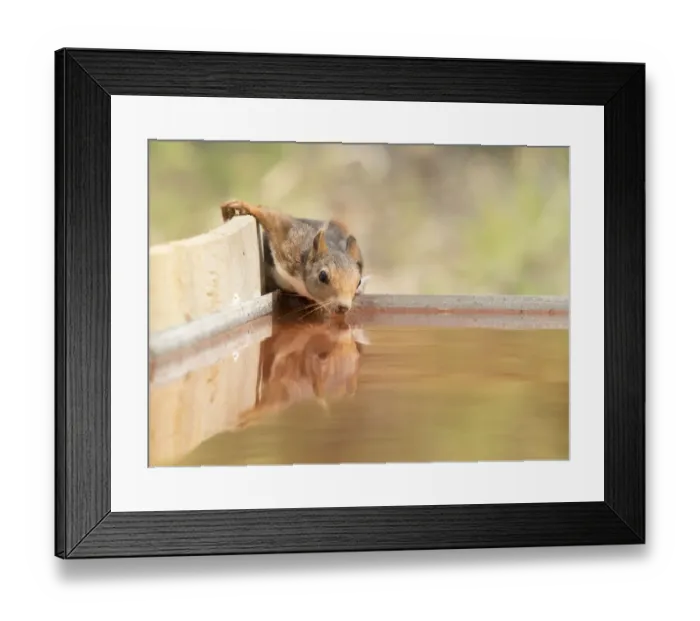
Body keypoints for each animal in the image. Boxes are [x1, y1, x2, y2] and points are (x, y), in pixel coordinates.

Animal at [221, 199, 369, 315]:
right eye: (322, 276)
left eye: (358, 281)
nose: (343, 307)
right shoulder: (291, 241)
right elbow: (274, 219)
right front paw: (242, 206)